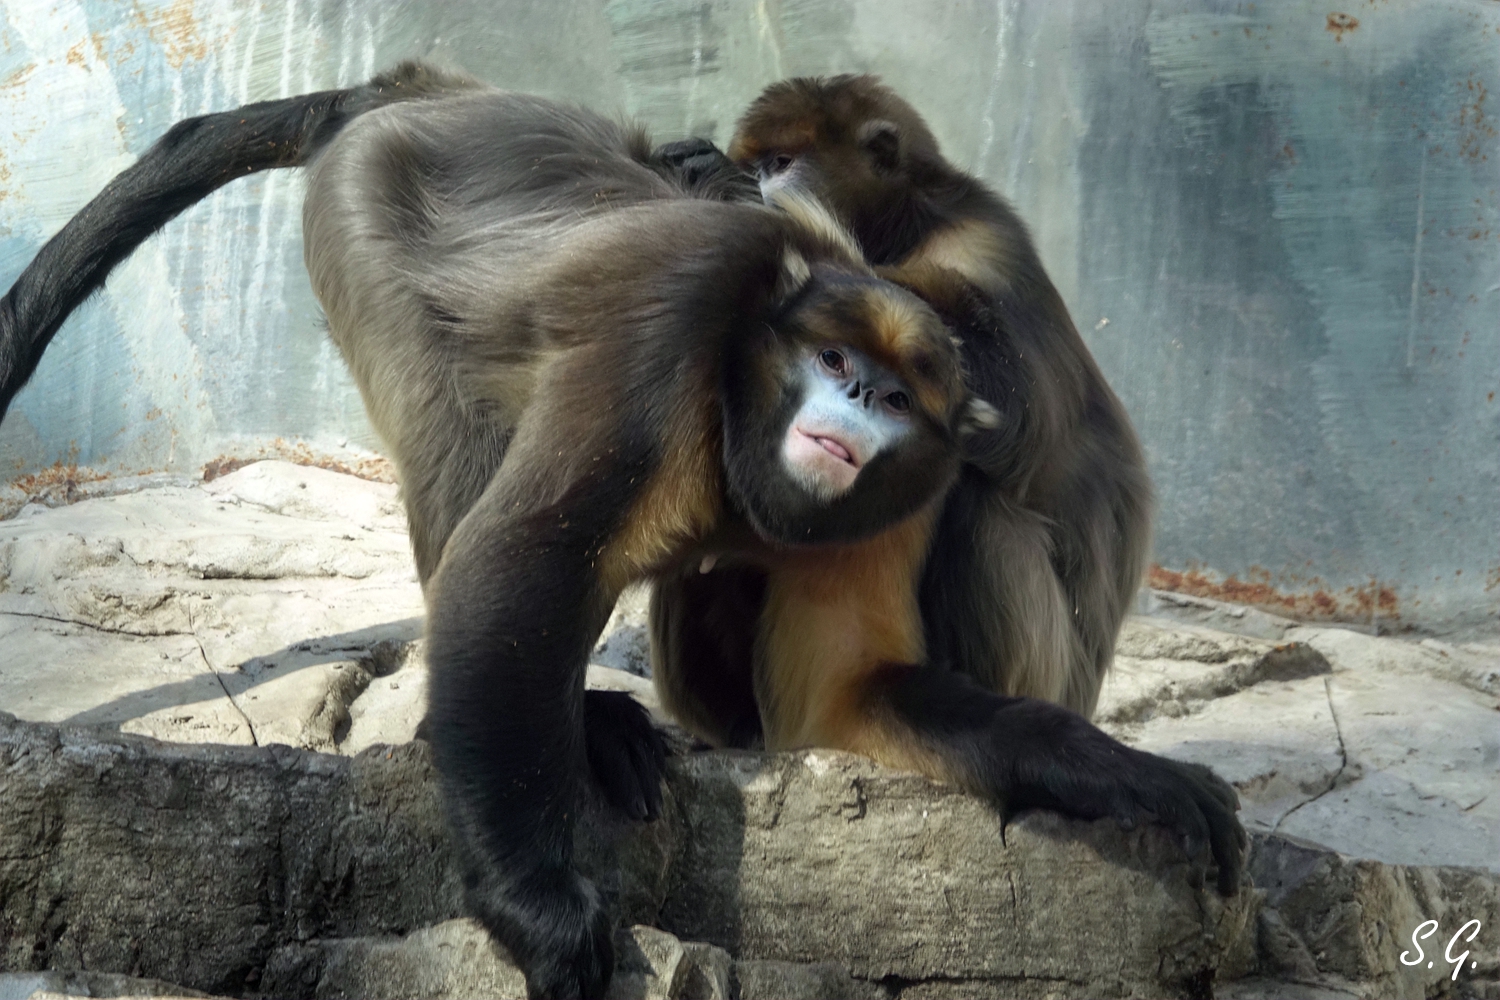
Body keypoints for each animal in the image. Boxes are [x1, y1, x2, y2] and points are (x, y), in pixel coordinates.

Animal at [0, 63, 1242, 998]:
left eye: (892, 397)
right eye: (834, 362)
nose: (851, 403)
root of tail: (417, 91)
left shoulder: (904, 479)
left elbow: (850, 692)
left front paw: (1104, 768)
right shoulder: (680, 317)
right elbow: (517, 561)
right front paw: (535, 904)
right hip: (371, 200)